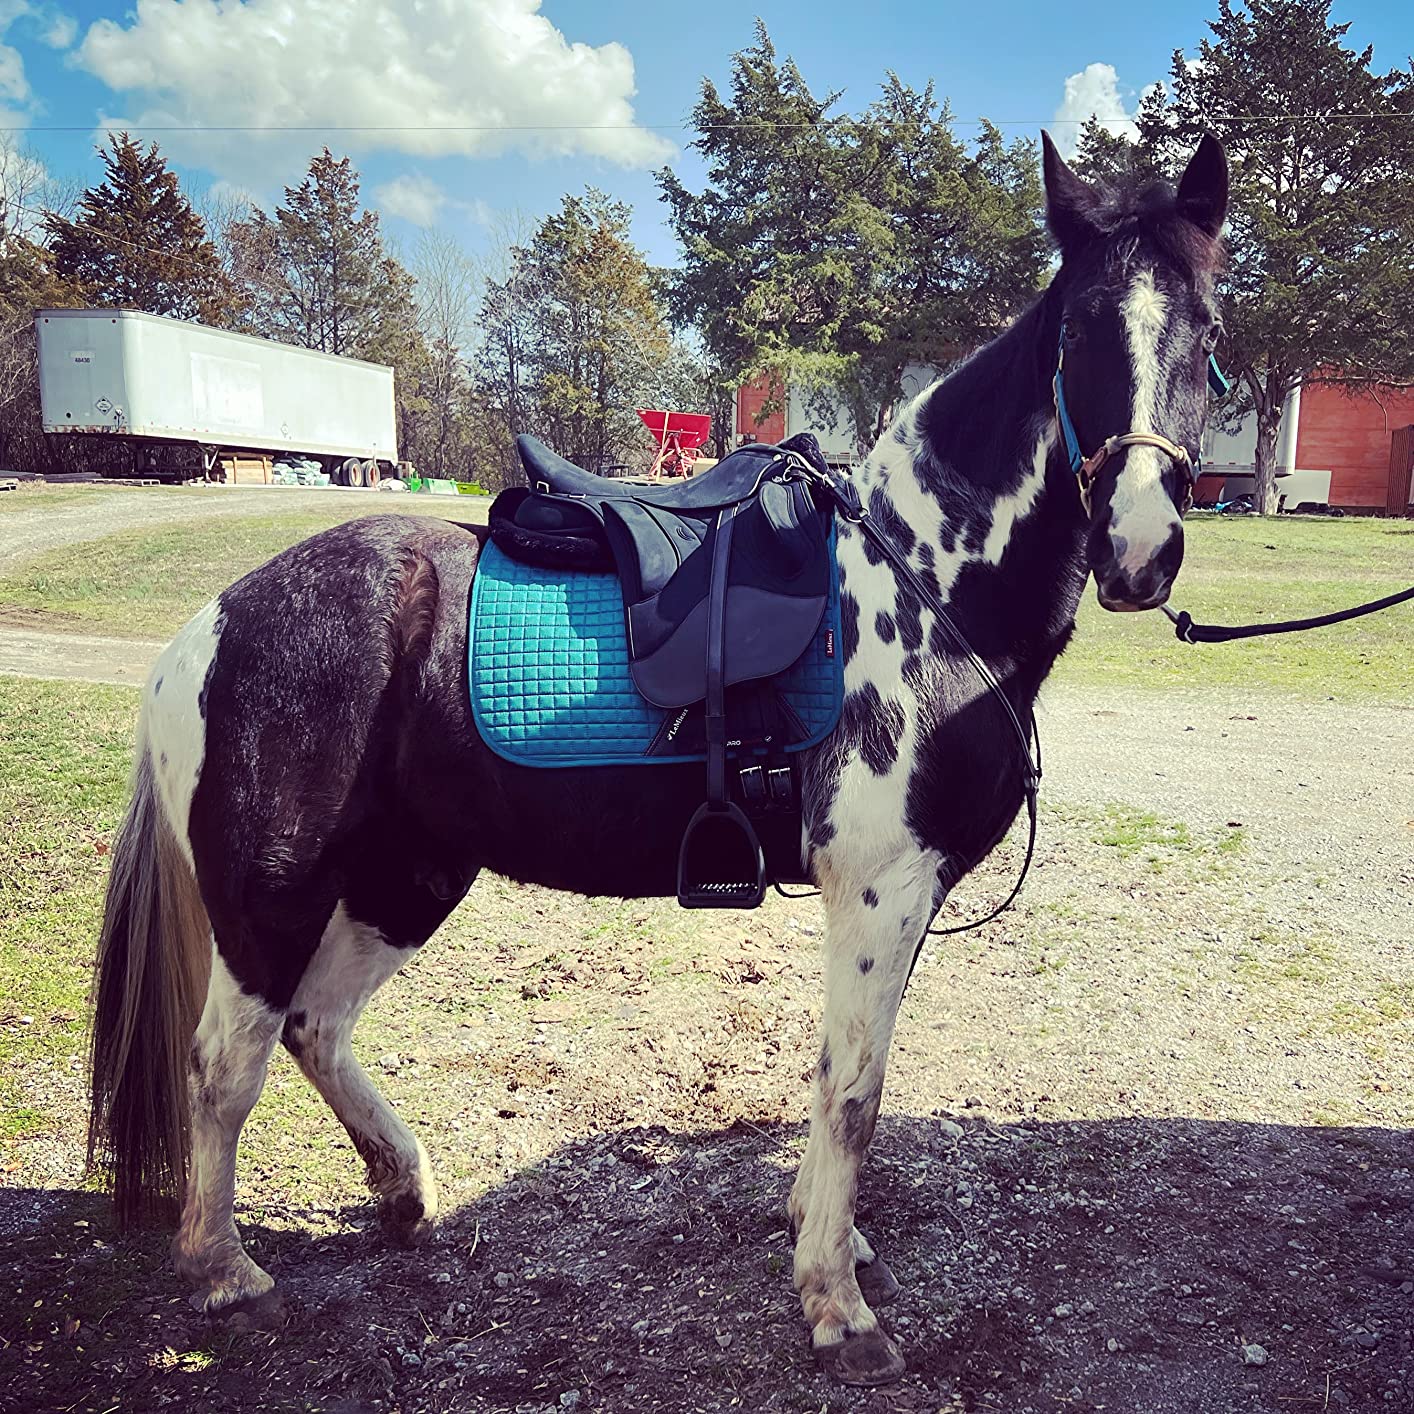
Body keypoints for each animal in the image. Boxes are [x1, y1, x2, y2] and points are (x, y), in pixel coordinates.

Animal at [87, 133, 1228, 1388]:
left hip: (405, 877)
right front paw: (834, 1305)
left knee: (316, 1026)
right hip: (273, 898)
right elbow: (853, 1093)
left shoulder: (897, 900)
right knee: (224, 1064)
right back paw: (224, 1275)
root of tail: (214, 624)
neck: (923, 579)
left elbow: (834, 1079)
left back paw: (403, 1189)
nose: (1139, 548)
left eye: (1207, 330)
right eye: (1079, 332)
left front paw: (826, 1240)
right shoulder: (878, 894)